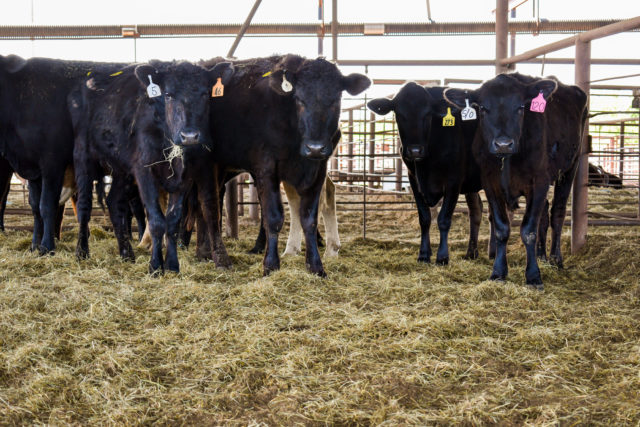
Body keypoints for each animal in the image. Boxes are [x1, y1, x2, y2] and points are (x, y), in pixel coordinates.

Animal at [0, 55, 128, 253]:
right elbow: (35, 207)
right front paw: (34, 246)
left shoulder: (52, 162)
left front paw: (46, 247)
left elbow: (47, 205)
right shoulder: (33, 170)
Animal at [69, 60, 234, 274]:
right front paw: (155, 266)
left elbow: (173, 221)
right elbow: (156, 221)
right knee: (84, 206)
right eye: (168, 95)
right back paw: (81, 252)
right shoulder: (144, 169)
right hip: (83, 156)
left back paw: (126, 254)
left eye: (205, 94)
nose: (189, 135)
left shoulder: (186, 175)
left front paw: (172, 265)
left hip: (122, 169)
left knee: (114, 202)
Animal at [198, 54, 370, 276]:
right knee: (209, 204)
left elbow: (309, 218)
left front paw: (316, 266)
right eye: (299, 100)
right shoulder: (266, 167)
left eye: (335, 101)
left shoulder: (318, 170)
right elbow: (273, 216)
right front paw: (270, 265)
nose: (315, 148)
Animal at [367, 83, 483, 265]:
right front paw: (424, 254)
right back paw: (473, 253)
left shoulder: (454, 180)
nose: (415, 150)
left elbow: (443, 219)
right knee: (477, 210)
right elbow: (424, 218)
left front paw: (442, 257)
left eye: (428, 114)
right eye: (399, 114)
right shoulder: (413, 179)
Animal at [444, 73, 587, 289]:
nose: (503, 144)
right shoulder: (490, 183)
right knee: (544, 215)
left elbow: (528, 230)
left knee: (557, 213)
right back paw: (542, 256)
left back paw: (556, 259)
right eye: (483, 108)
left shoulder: (539, 181)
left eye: (521, 107)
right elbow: (502, 228)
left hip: (571, 165)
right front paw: (498, 272)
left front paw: (533, 276)